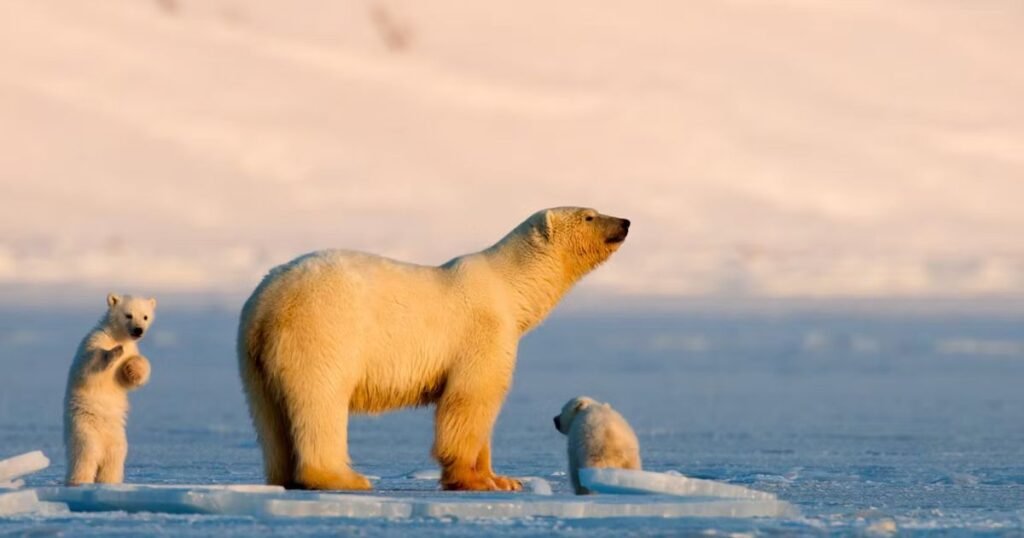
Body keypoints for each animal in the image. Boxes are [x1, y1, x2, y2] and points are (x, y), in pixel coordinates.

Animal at [64, 293, 155, 486]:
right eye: (128, 315)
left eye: (145, 316)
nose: (138, 330)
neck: (116, 336)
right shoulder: (94, 340)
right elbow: (88, 366)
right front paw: (114, 352)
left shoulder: (132, 348)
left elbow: (127, 378)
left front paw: (133, 368)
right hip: (84, 430)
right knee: (85, 457)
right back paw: (78, 482)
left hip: (117, 437)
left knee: (114, 460)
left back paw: (110, 482)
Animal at [238, 207, 630, 491]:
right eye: (589, 215)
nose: (625, 222)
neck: (508, 287)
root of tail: (267, 303)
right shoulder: (483, 332)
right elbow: (470, 400)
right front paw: (476, 481)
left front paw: (505, 479)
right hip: (322, 332)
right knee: (321, 400)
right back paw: (343, 478)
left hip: (253, 356)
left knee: (269, 417)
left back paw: (283, 477)